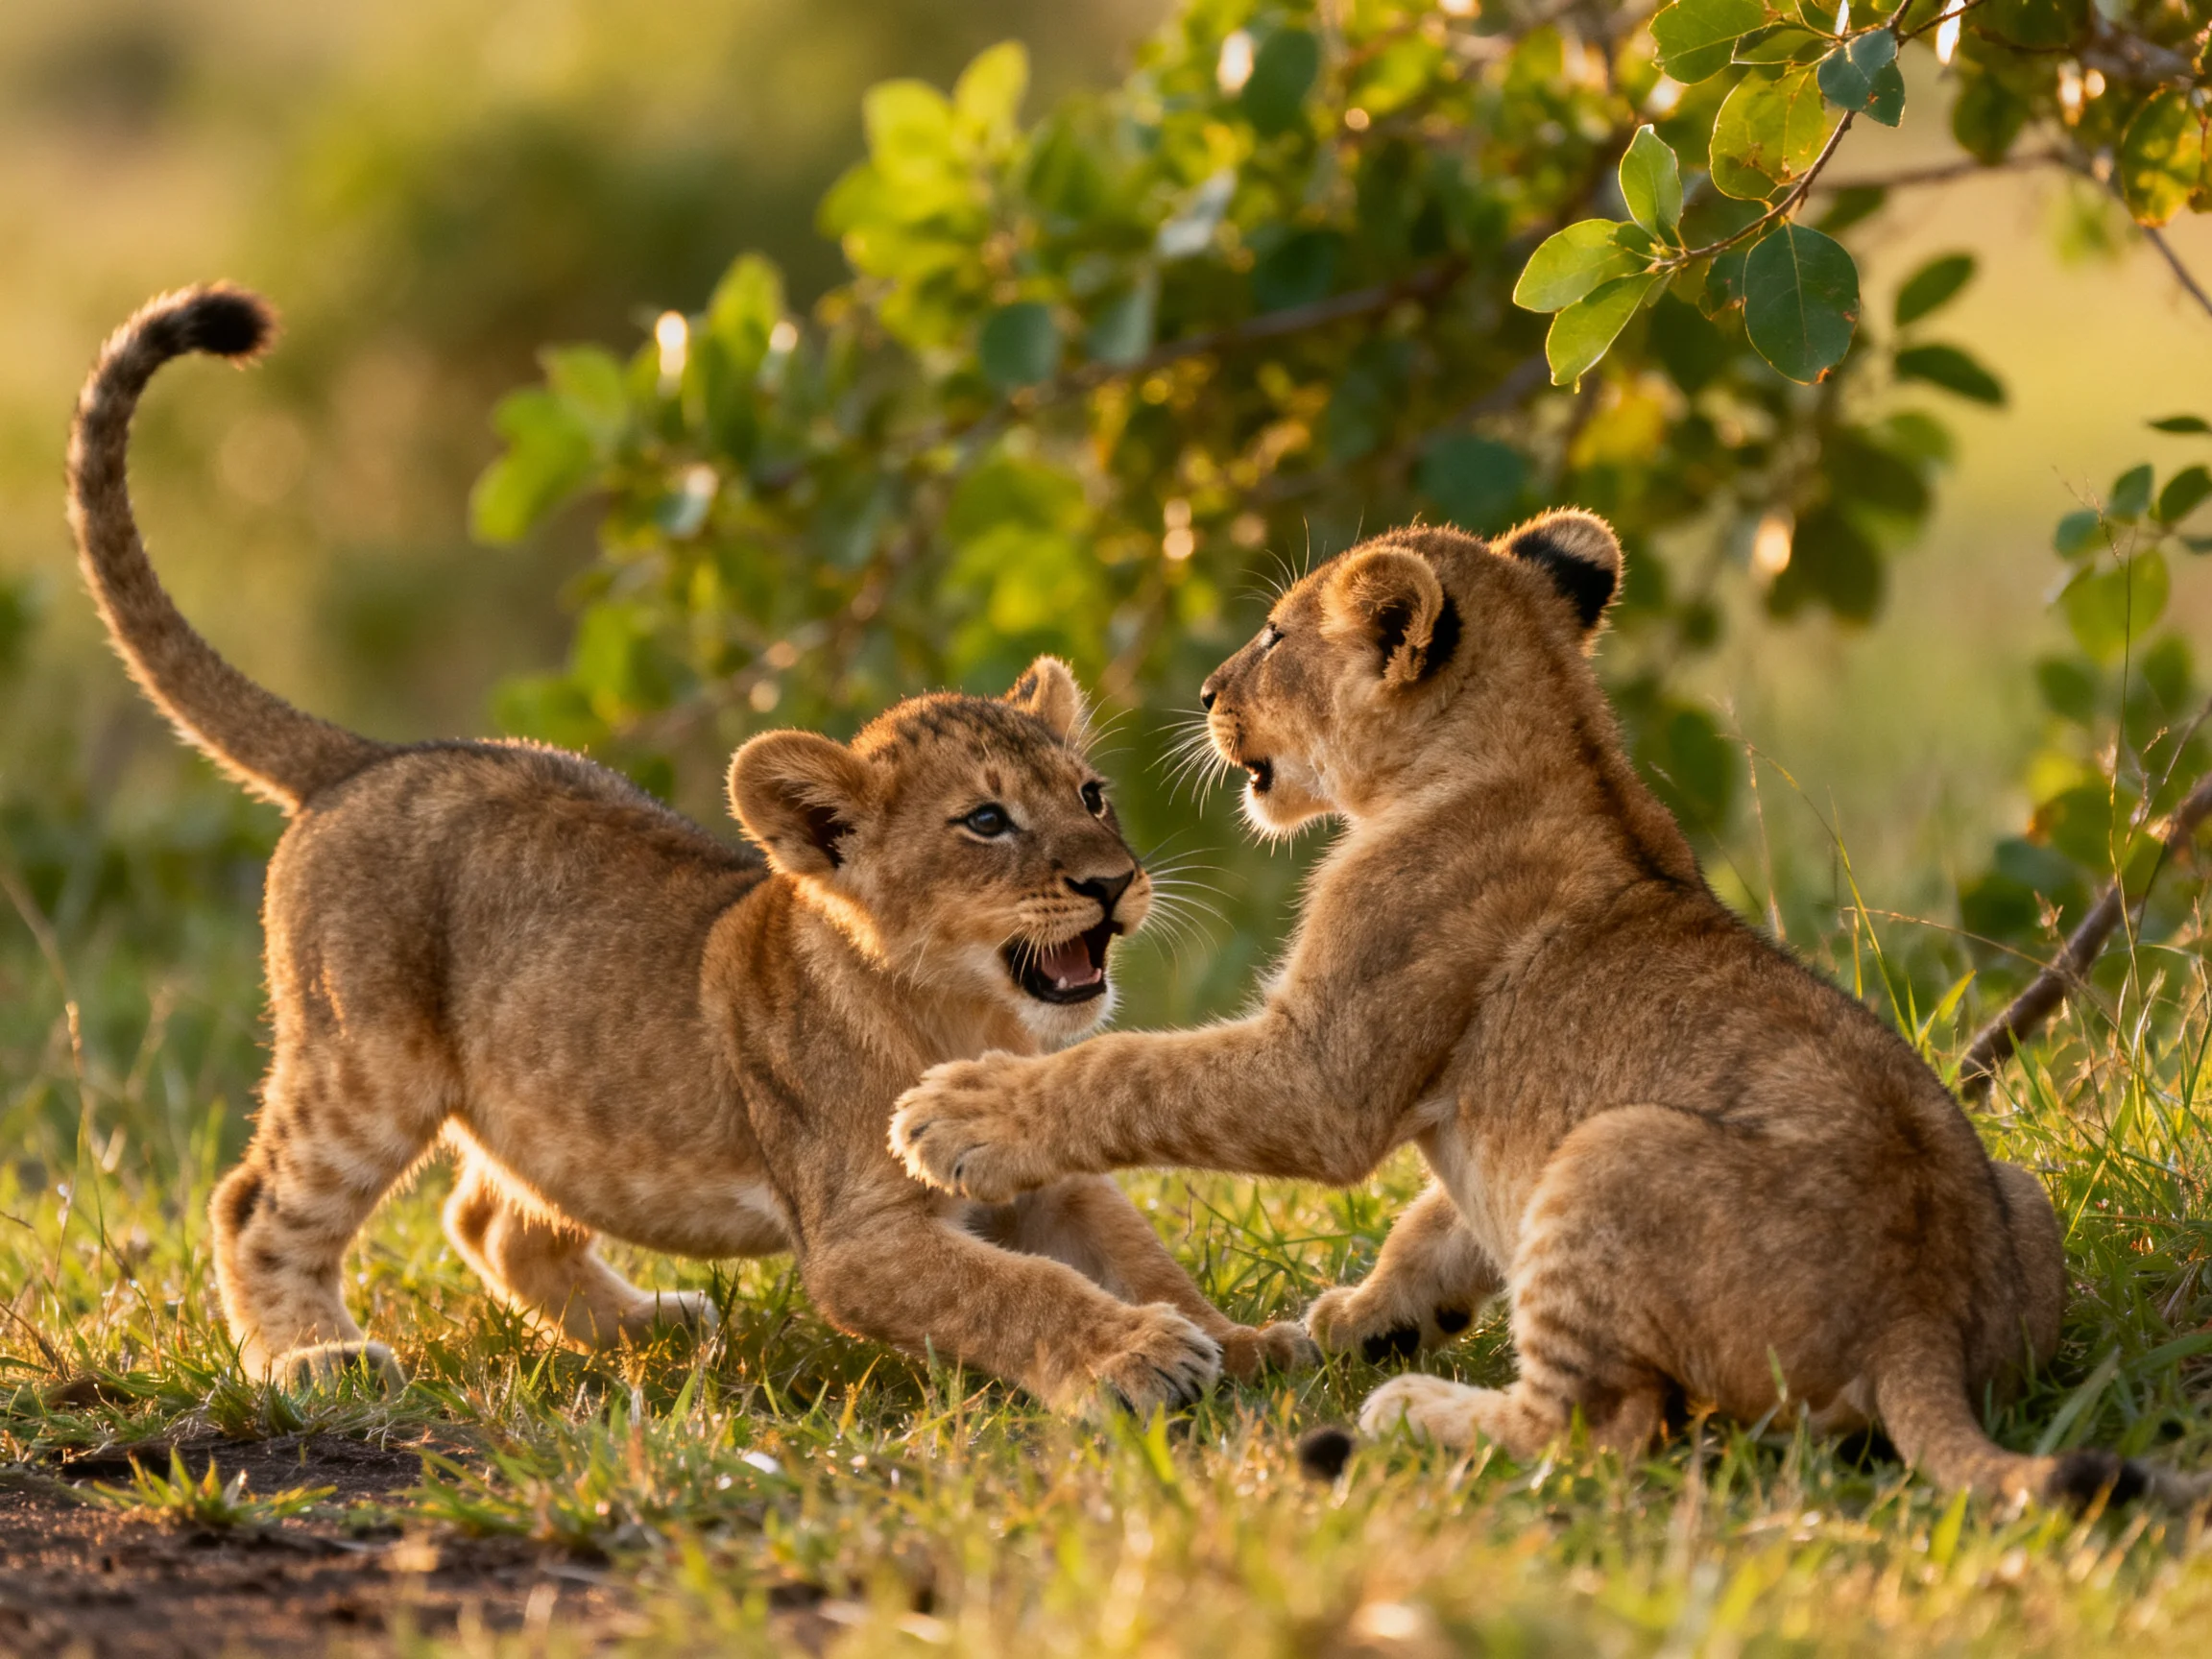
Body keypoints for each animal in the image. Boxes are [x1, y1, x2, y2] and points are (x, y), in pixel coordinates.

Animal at [67, 284, 1312, 1413]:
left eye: (1093, 796)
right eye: (986, 822)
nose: (1113, 882)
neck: (965, 1015)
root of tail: (367, 756)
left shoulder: (1029, 1165)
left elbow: (1139, 1252)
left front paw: (1247, 1343)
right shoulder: (859, 1237)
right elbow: (1015, 1294)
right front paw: (1135, 1359)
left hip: (543, 1097)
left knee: (490, 1216)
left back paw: (654, 1331)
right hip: (363, 1070)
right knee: (256, 1206)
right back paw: (316, 1362)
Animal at [890, 511, 2183, 1506]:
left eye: (1273, 636)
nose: (1207, 692)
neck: (1550, 742)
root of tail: (1921, 1318)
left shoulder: (1321, 1077)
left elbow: (1133, 1072)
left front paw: (959, 1119)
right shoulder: (1458, 1118)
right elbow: (1434, 1219)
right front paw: (1369, 1313)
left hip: (1608, 1150)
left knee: (1596, 1429)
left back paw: (1416, 1411)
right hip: (2015, 1198)